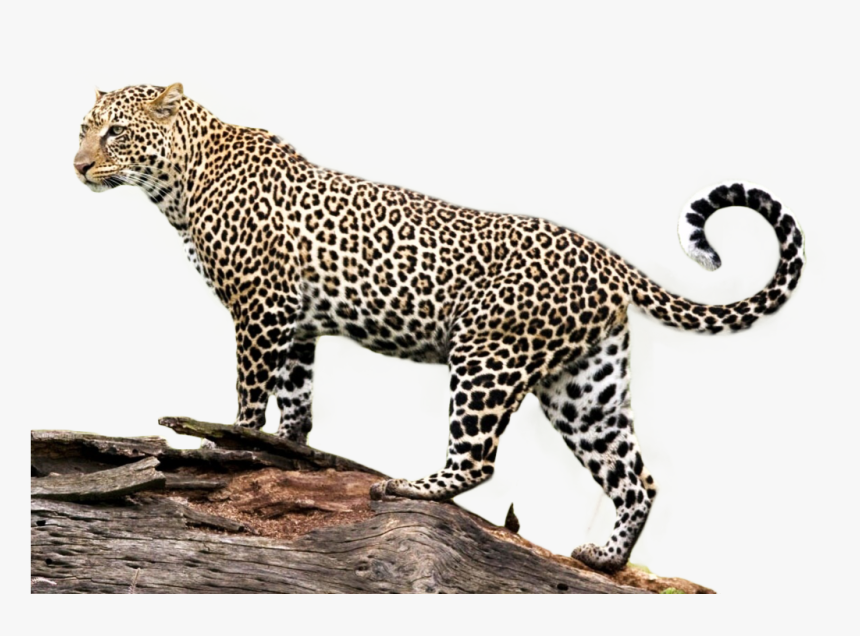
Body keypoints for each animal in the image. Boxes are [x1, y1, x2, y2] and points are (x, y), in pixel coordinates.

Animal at [73, 84, 805, 573]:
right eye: (82, 129)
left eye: (115, 133)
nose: (78, 166)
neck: (180, 183)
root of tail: (606, 256)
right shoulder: (296, 323)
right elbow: (298, 400)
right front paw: (286, 452)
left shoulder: (259, 309)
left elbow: (250, 394)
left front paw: (225, 448)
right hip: (585, 389)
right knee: (636, 479)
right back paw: (604, 558)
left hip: (486, 356)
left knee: (478, 459)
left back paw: (410, 485)